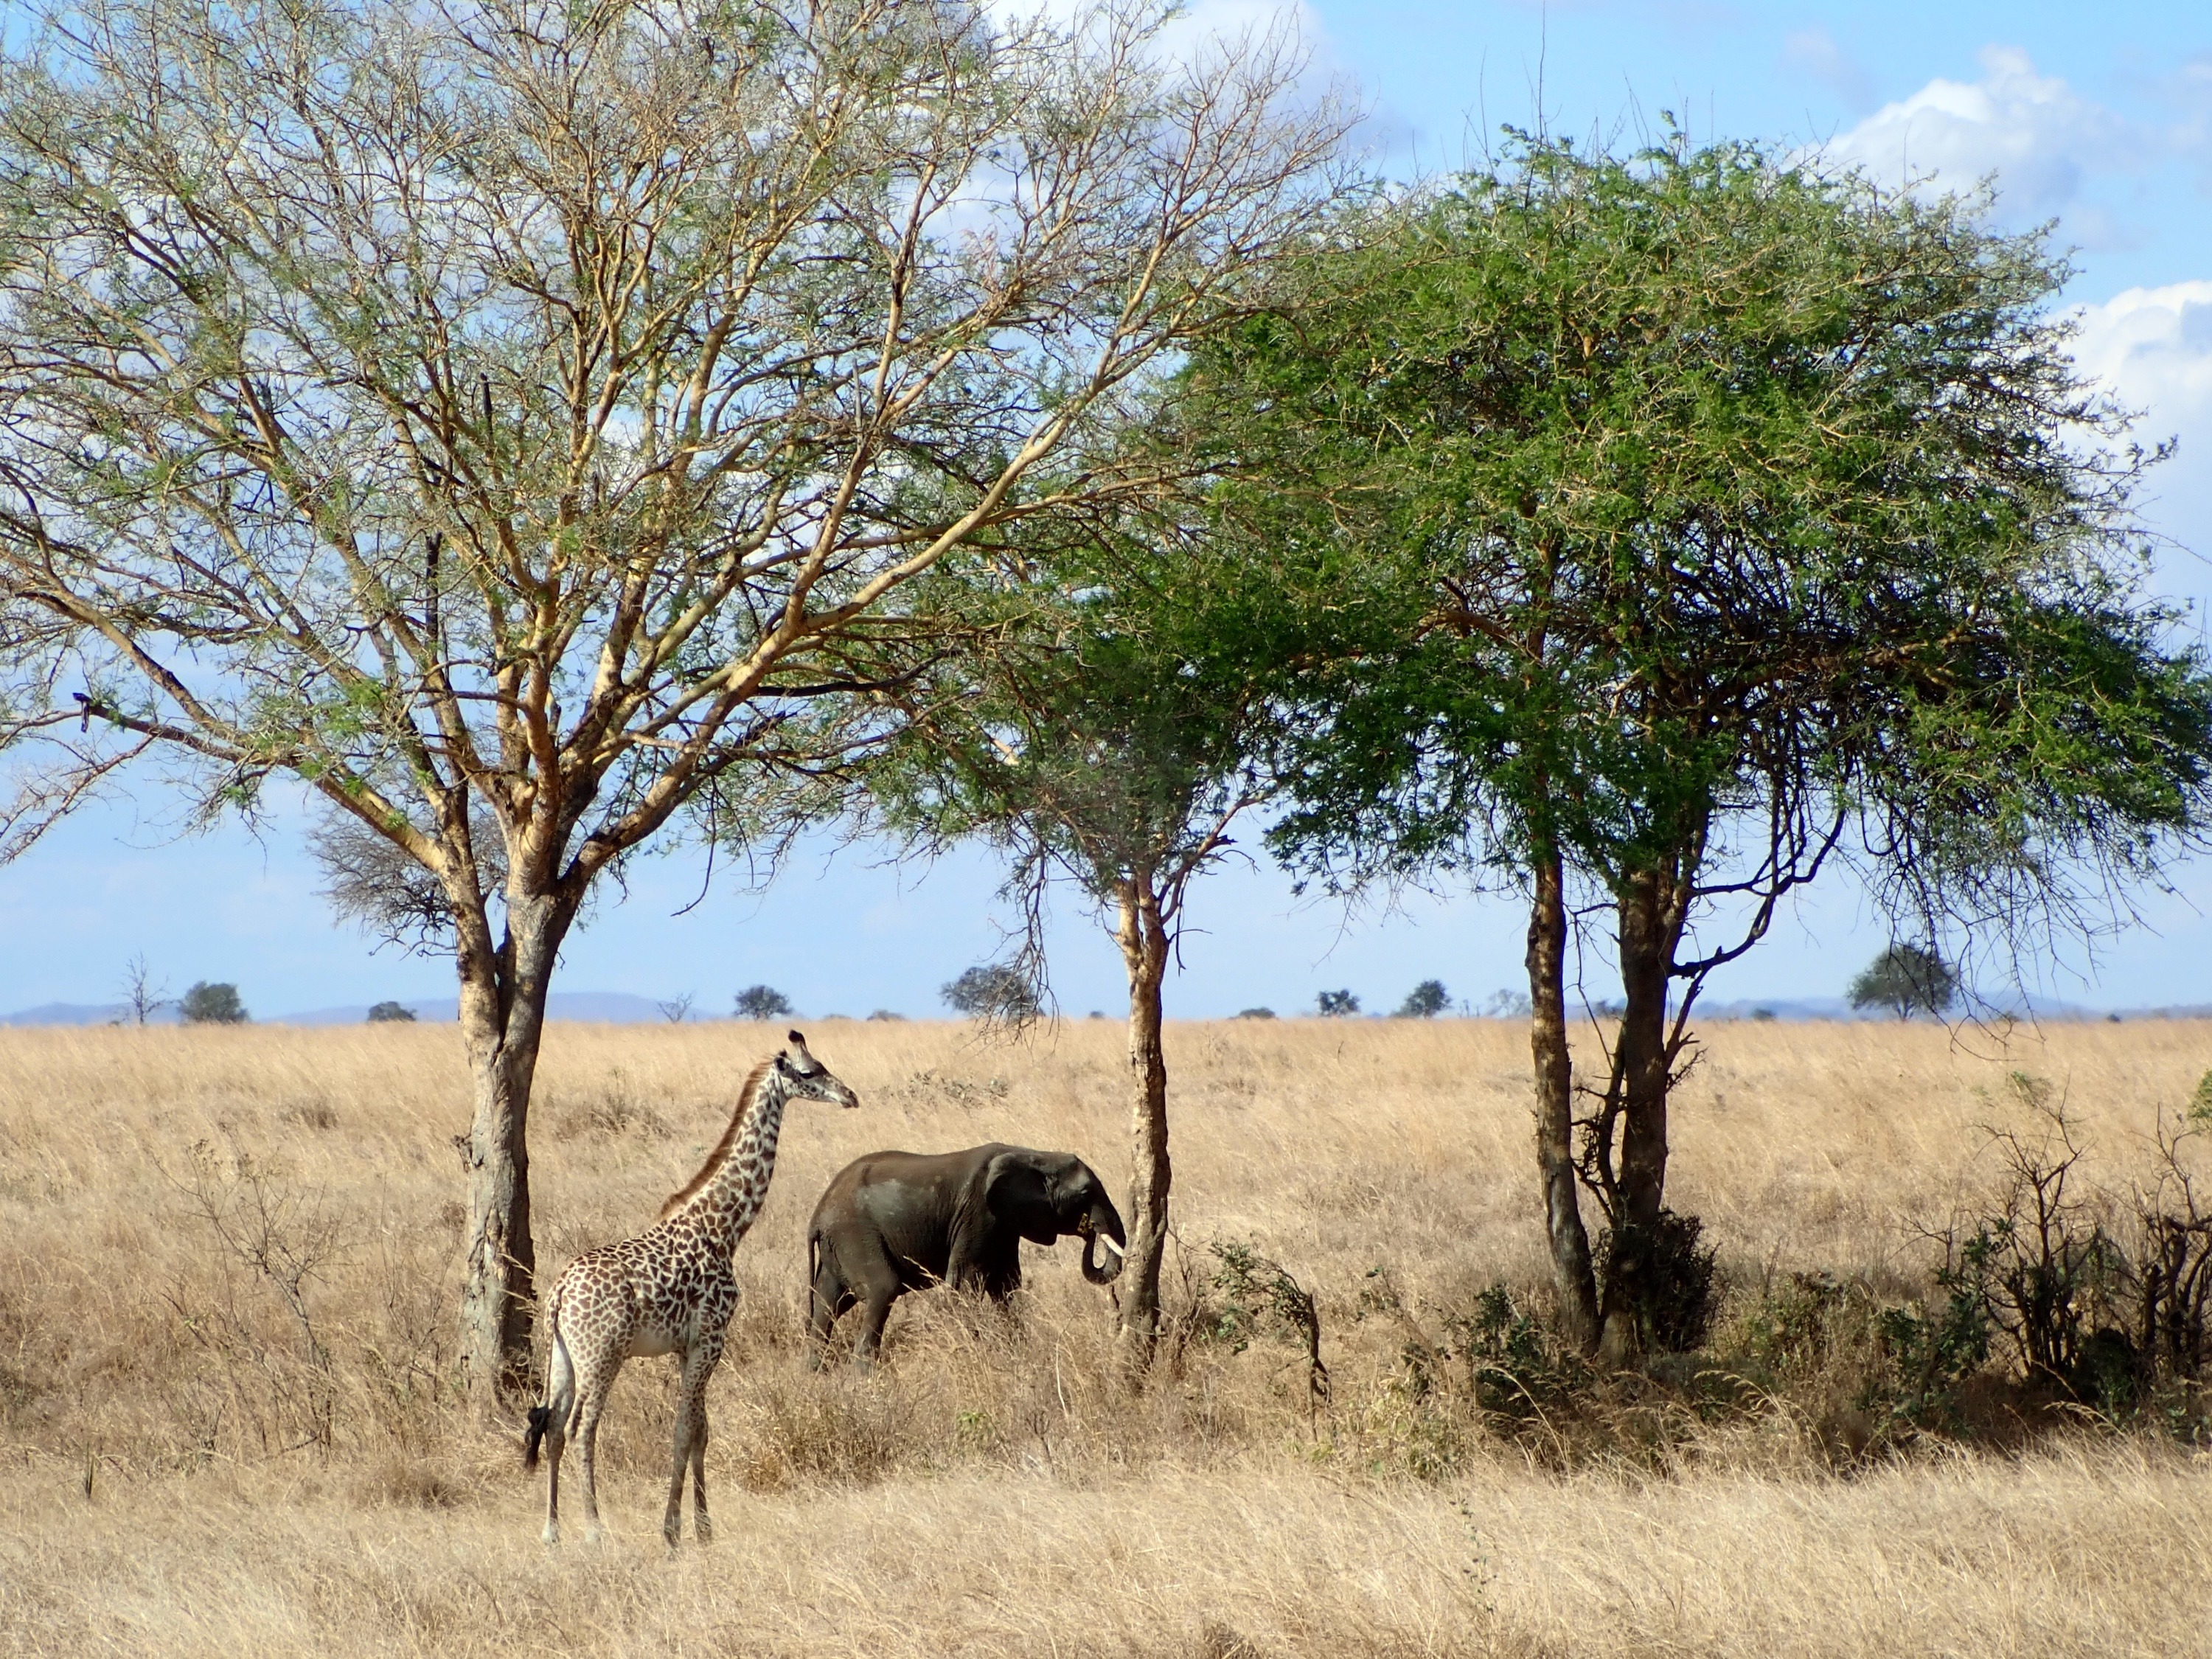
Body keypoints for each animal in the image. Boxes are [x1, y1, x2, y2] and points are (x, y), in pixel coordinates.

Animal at [523, 1029, 859, 1546]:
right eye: (810, 1072)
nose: (850, 1096)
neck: (723, 1229)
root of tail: (559, 1295)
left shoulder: (689, 1346)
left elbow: (701, 1431)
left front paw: (703, 1528)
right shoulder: (710, 1338)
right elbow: (685, 1431)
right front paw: (673, 1530)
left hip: (562, 1354)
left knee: (555, 1426)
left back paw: (552, 1532)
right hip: (603, 1355)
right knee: (582, 1428)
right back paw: (596, 1531)